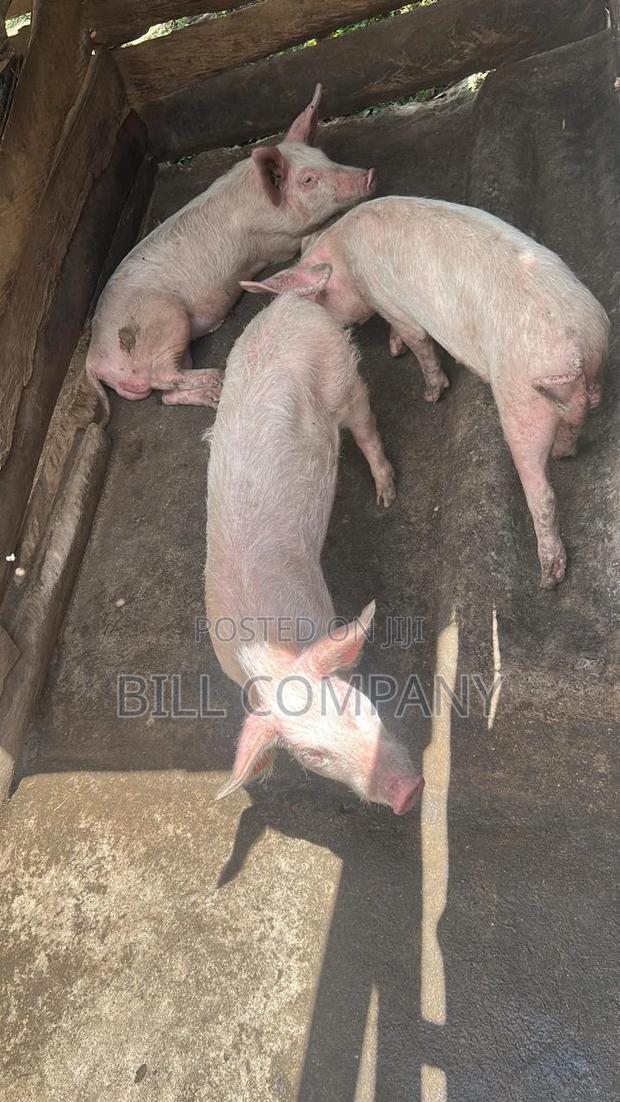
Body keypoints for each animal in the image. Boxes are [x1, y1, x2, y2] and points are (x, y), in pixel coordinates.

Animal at [85, 84, 376, 408]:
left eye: (325, 157)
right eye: (309, 179)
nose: (370, 175)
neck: (263, 204)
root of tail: (93, 360)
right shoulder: (276, 243)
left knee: (167, 396)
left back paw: (213, 393)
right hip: (162, 317)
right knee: (163, 377)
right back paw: (218, 376)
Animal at [205, 292, 423, 814]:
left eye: (352, 703)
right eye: (314, 754)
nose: (408, 793)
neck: (269, 649)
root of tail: (291, 301)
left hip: (343, 374)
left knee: (365, 425)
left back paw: (386, 494)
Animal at [242, 197, 609, 589]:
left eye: (318, 303)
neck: (343, 256)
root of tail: (575, 344)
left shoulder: (389, 302)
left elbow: (419, 341)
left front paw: (431, 395)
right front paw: (395, 351)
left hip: (522, 401)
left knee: (542, 490)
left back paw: (549, 578)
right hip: (586, 374)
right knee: (578, 420)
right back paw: (564, 454)